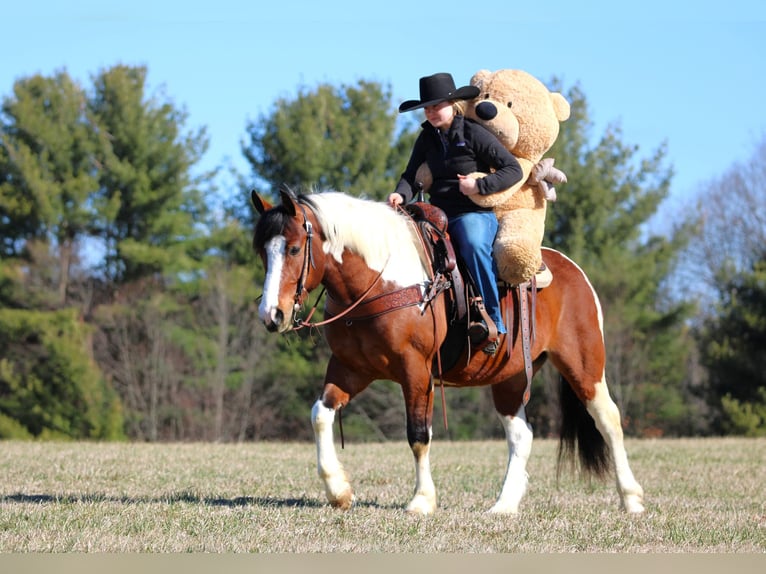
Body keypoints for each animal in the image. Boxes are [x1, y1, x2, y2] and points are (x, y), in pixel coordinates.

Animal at [251, 186, 645, 515]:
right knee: (521, 435)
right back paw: (504, 506)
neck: (380, 282)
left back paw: (631, 499)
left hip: (584, 366)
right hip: (511, 377)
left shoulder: (416, 371)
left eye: (294, 248)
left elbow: (418, 434)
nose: (272, 315)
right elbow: (319, 414)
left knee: (609, 421)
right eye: (262, 252)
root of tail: (571, 269)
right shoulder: (350, 368)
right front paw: (339, 491)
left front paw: (422, 500)